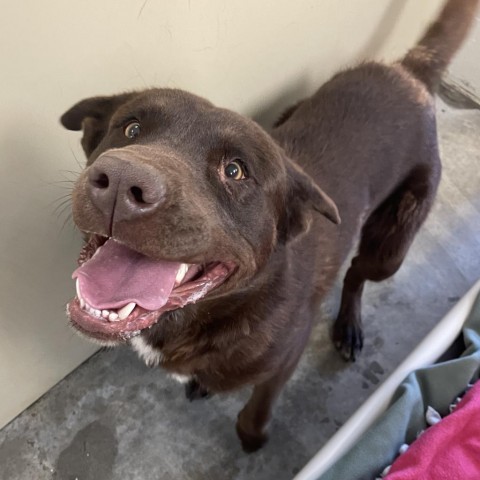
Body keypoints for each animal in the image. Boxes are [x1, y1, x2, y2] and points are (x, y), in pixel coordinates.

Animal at [62, 0, 478, 452]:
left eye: (235, 170)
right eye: (131, 128)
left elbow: (260, 403)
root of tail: (408, 71)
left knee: (357, 271)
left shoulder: (286, 357)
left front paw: (252, 436)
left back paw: (348, 324)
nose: (121, 182)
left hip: (392, 248)